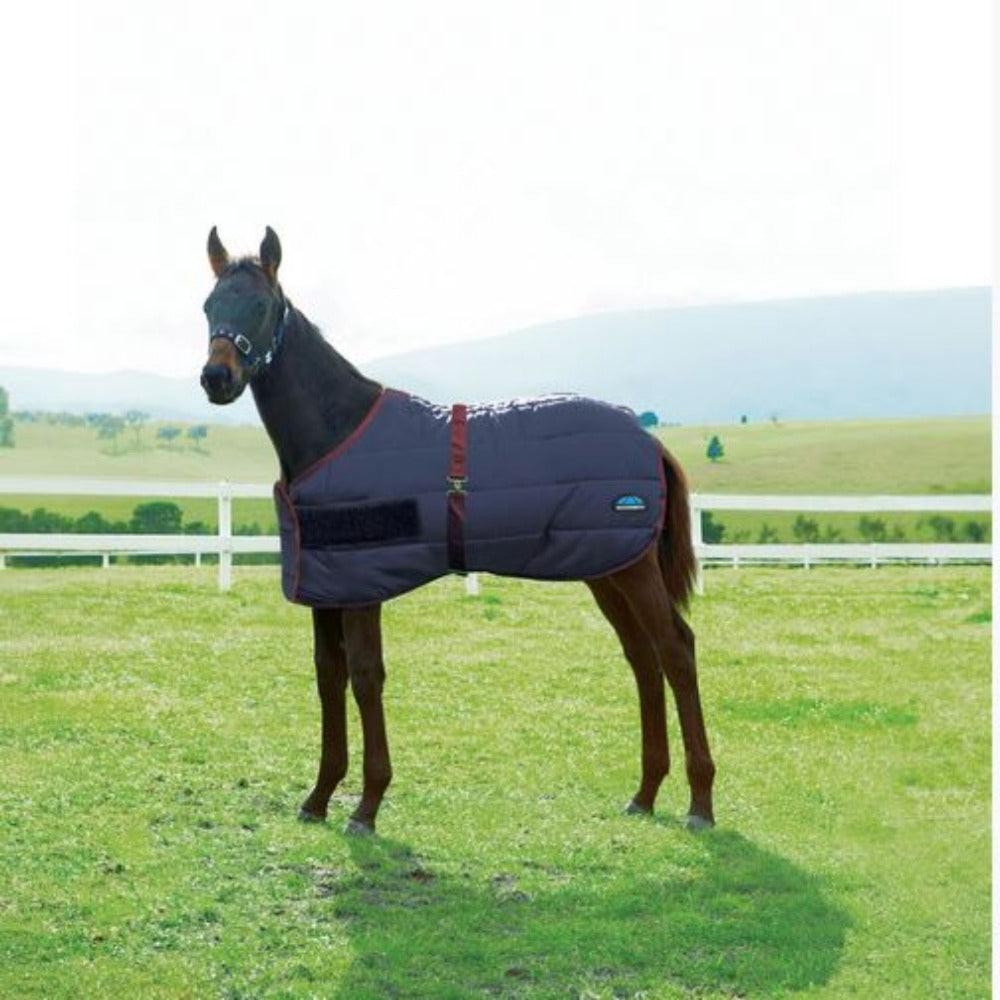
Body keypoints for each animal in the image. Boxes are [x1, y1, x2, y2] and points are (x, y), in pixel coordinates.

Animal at [199, 226, 716, 835]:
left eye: (260, 306)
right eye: (208, 305)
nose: (216, 379)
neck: (338, 431)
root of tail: (650, 440)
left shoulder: (362, 589)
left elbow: (365, 676)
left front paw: (367, 806)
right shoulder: (327, 588)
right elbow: (329, 677)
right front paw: (319, 797)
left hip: (632, 571)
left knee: (676, 650)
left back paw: (700, 804)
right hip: (606, 570)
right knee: (643, 658)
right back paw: (645, 793)